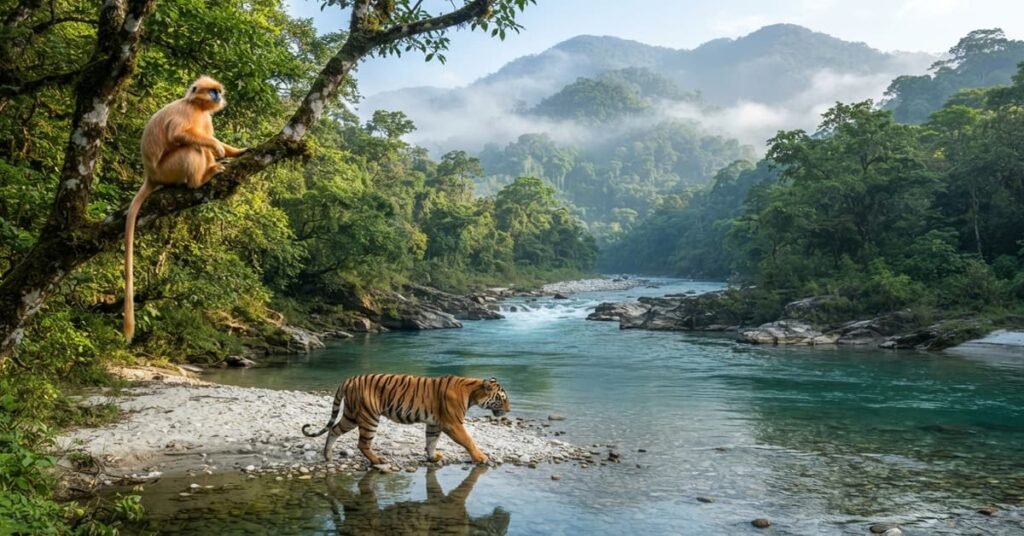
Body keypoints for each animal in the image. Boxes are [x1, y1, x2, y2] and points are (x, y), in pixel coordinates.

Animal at [301, 374, 511, 465]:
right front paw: (481, 457)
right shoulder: (452, 424)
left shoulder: (434, 424)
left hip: (351, 415)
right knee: (362, 443)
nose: (509, 410)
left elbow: (431, 441)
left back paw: (327, 455)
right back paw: (377, 460)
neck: (472, 393)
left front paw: (432, 457)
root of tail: (349, 379)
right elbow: (469, 440)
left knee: (334, 429)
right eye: (502, 398)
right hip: (369, 417)